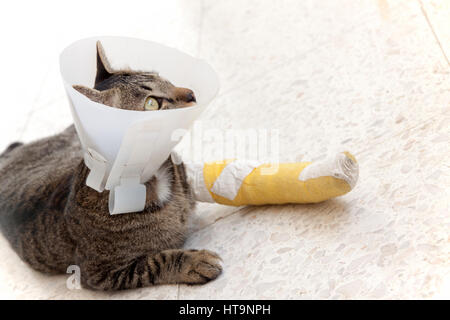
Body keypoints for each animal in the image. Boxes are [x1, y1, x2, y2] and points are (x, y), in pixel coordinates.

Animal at [0, 40, 222, 290]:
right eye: (152, 103)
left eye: (162, 77)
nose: (191, 93)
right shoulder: (99, 273)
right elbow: (155, 262)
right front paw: (195, 261)